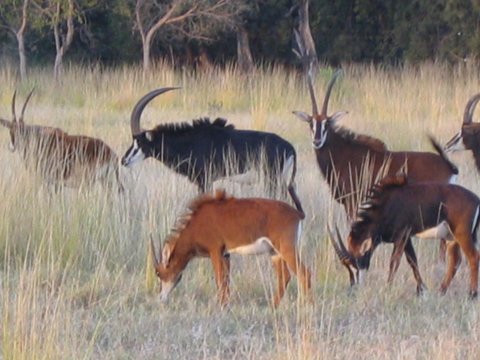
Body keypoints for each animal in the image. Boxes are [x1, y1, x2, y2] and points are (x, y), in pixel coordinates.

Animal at [121, 87, 300, 215]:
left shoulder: (204, 179)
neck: (190, 141)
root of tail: (290, 147)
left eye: (139, 143)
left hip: (273, 180)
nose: (124, 160)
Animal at [148, 188, 312, 306]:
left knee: (304, 273)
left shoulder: (215, 251)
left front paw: (220, 306)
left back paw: (308, 306)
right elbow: (226, 281)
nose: (161, 297)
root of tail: (297, 213)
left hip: (287, 249)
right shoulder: (226, 254)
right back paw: (273, 306)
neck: (196, 223)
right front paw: (225, 305)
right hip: (275, 253)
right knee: (285, 276)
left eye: (158, 273)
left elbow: (219, 279)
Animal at [330, 174, 480, 298]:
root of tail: (477, 200)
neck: (386, 204)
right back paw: (441, 292)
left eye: (356, 264)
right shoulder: (406, 238)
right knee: (455, 261)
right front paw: (422, 290)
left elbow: (394, 262)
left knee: (473, 257)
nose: (352, 289)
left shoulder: (402, 235)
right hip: (451, 238)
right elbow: (412, 261)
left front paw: (388, 287)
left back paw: (472, 294)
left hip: (462, 234)